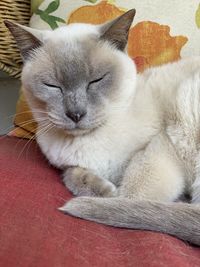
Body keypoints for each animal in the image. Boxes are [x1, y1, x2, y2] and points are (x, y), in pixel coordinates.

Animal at [5, 9, 200, 246]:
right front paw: (102, 190)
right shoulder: (67, 166)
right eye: (53, 86)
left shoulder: (160, 142)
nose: (76, 114)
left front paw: (110, 198)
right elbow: (72, 175)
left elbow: (128, 198)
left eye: (96, 81)